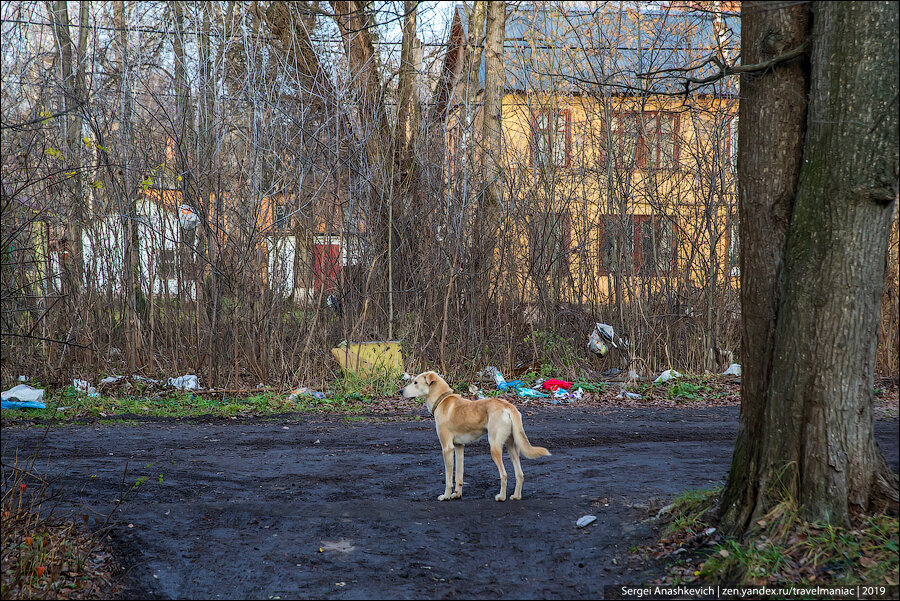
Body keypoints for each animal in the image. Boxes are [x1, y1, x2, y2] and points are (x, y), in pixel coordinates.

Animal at [400, 370, 548, 502]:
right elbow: (459, 476)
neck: (442, 400)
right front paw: (457, 494)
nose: (400, 391)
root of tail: (508, 406)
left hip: (494, 447)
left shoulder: (447, 448)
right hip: (512, 447)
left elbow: (449, 479)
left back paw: (501, 497)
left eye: (415, 382)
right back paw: (516, 496)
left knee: (504, 474)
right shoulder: (459, 447)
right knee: (520, 474)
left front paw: (446, 496)